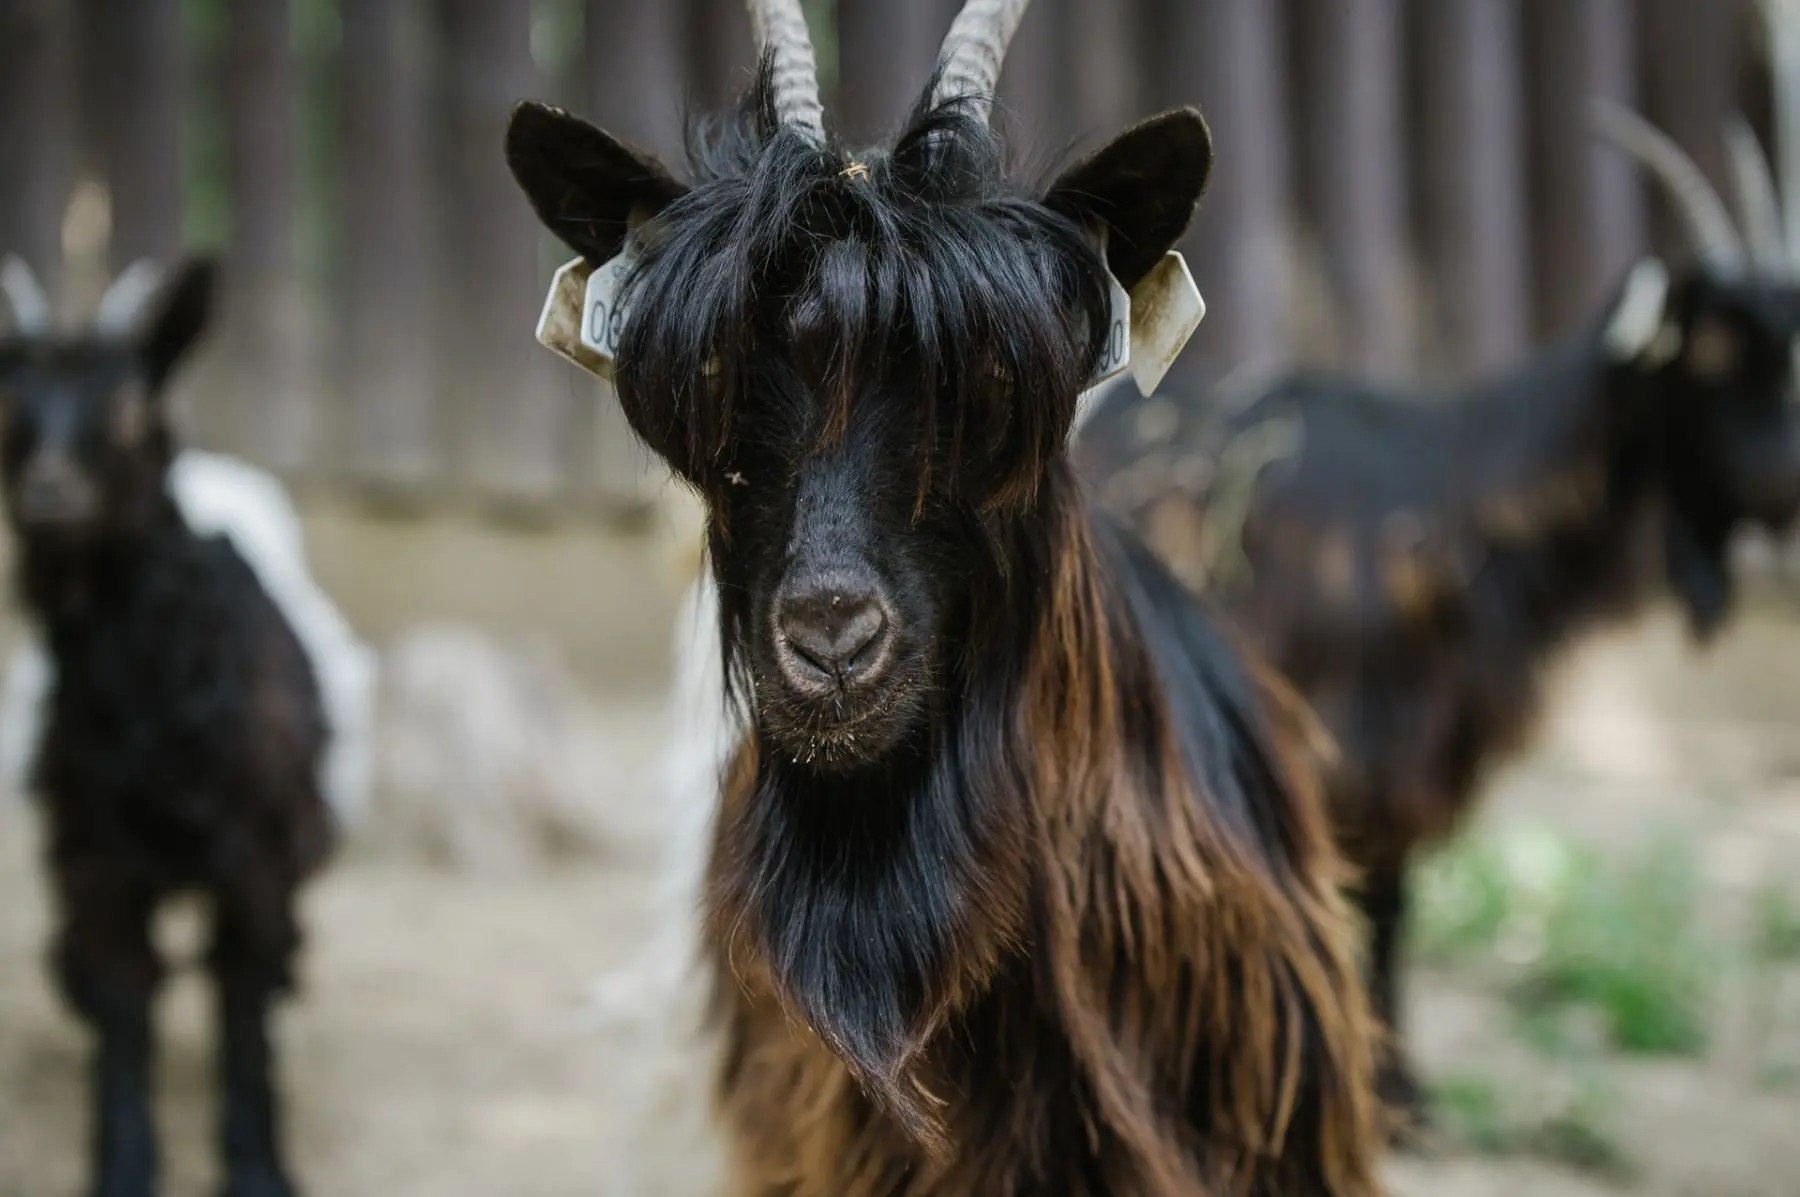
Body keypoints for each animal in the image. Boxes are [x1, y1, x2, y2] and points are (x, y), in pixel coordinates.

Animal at [0, 256, 331, 1197]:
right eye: (11, 408)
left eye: (128, 409)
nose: (48, 493)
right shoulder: (97, 856)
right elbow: (124, 1007)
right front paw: (122, 1163)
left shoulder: (255, 854)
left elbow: (241, 1003)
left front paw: (256, 1167)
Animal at [1076, 100, 1800, 1126]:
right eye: (1709, 353)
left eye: (1791, 353)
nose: (1787, 482)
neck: (1460, 498)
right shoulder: (1360, 731)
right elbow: (1376, 897)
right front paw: (1390, 1091)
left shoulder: (1424, 733)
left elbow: (1395, 896)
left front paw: (1399, 1081)